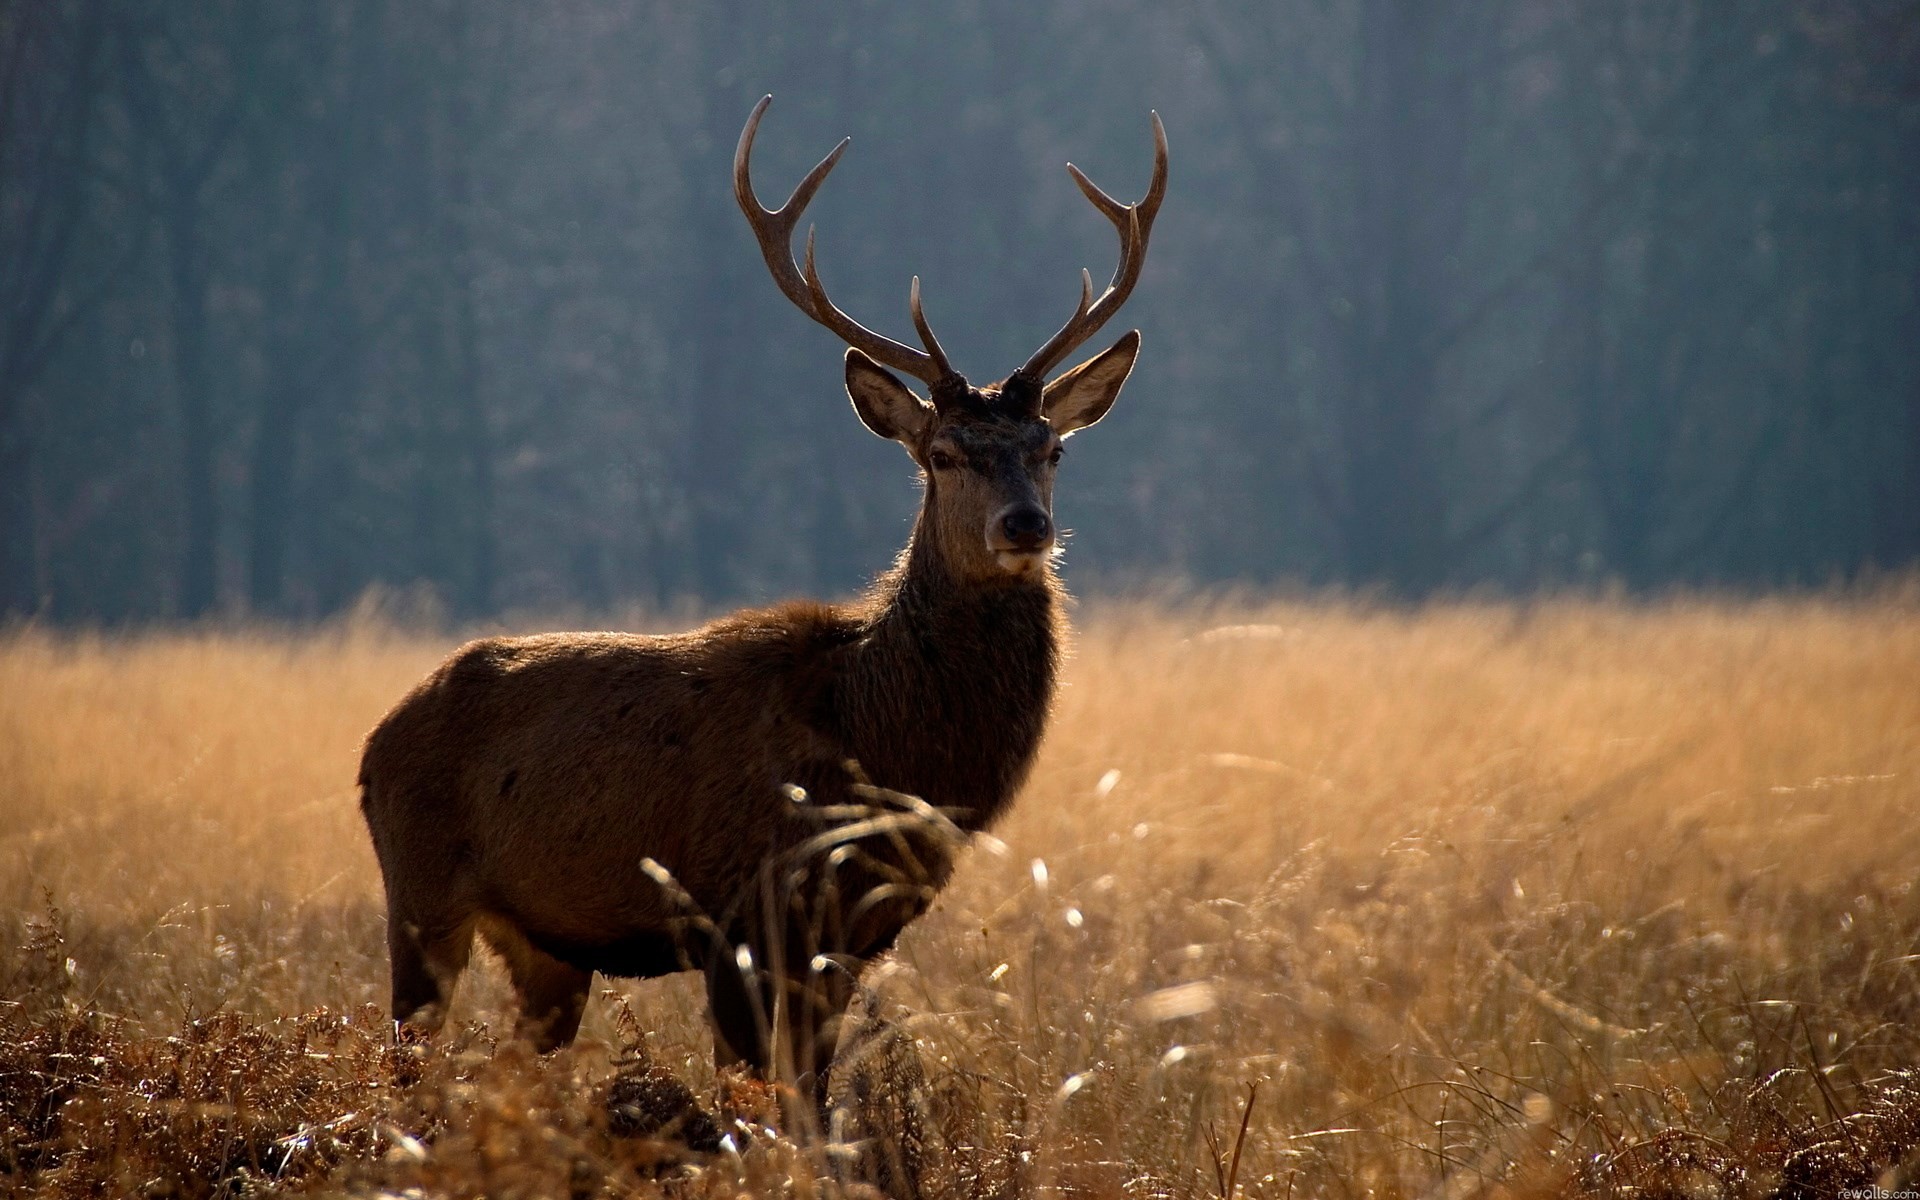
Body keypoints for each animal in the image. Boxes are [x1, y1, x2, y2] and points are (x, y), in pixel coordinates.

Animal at [357, 96, 1166, 1105]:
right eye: (943, 454)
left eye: (1052, 447)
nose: (1025, 524)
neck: (877, 743)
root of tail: (372, 746)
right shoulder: (737, 915)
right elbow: (755, 1105)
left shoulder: (848, 939)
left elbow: (813, 1103)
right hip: (418, 895)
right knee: (403, 1060)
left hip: (549, 948)